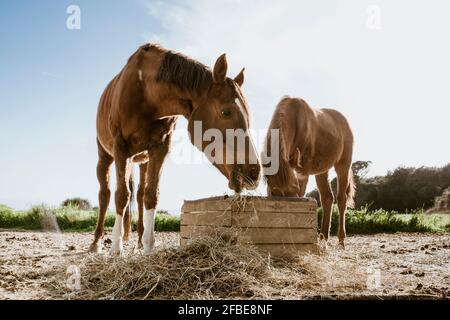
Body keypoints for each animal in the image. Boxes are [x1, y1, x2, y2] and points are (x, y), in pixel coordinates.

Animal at [90, 44, 260, 255]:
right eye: (226, 112)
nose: (254, 172)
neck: (146, 93)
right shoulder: (121, 148)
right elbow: (121, 195)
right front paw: (115, 249)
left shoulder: (160, 149)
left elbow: (151, 195)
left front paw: (148, 248)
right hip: (105, 156)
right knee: (105, 195)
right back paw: (96, 242)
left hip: (142, 160)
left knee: (139, 194)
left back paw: (139, 242)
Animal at [264, 96, 356, 246]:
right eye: (273, 192)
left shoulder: (303, 170)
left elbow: (302, 194)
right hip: (322, 171)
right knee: (327, 198)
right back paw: (323, 238)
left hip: (343, 165)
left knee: (341, 199)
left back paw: (341, 240)